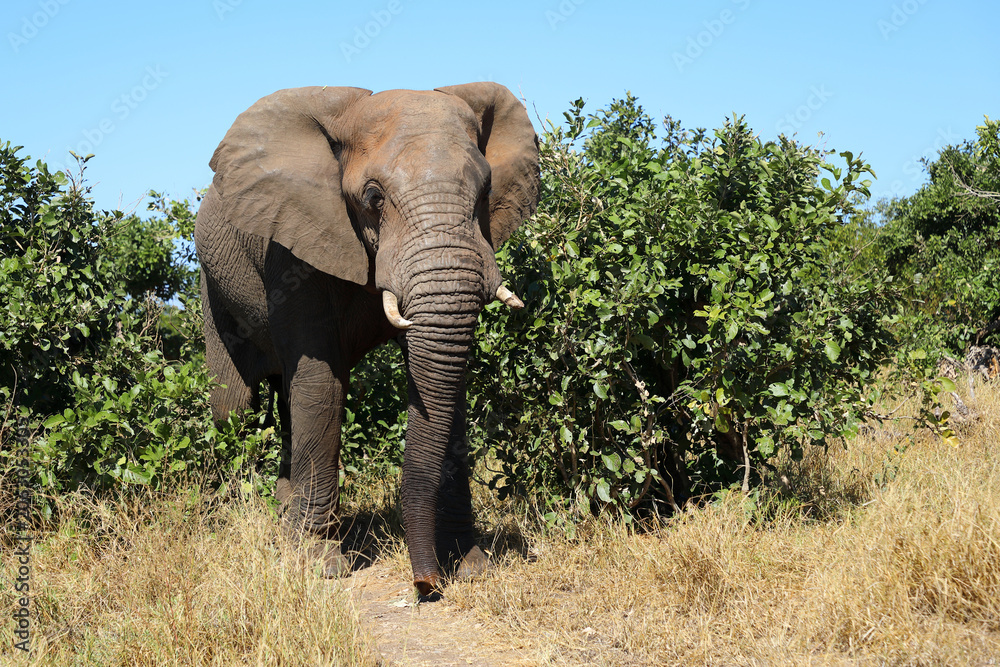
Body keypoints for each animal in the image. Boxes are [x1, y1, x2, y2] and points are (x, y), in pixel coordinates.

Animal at [194, 82, 539, 595]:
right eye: (373, 197)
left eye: (485, 192)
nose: (426, 586)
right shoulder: (294, 245)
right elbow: (321, 383)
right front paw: (319, 563)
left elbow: (445, 387)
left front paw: (470, 564)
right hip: (211, 286)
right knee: (234, 406)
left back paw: (283, 513)